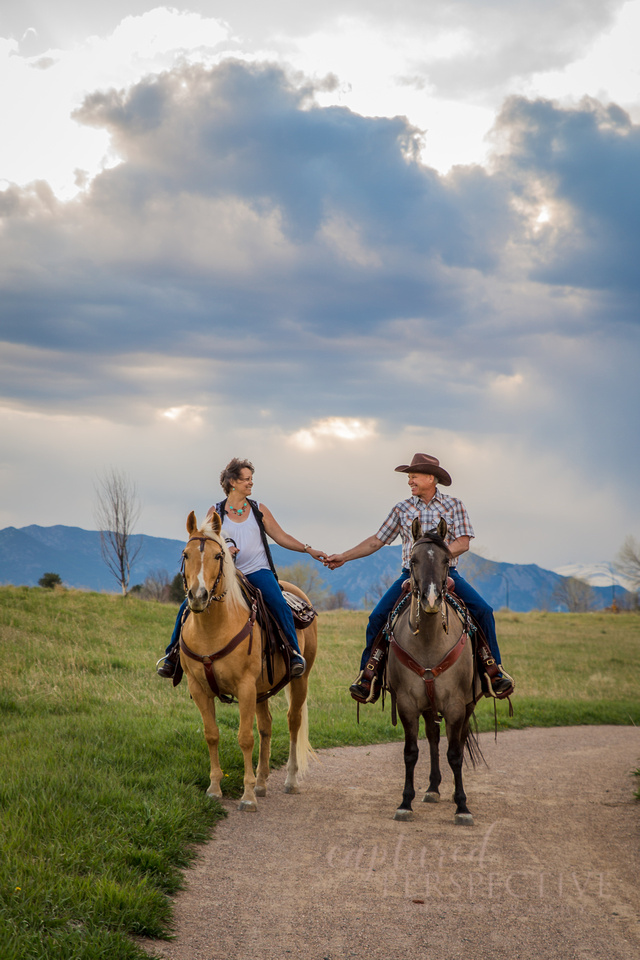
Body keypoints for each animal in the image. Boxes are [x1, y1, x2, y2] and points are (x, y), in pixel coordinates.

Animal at [178, 510, 318, 808]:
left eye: (218, 556)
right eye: (185, 554)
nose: (198, 596)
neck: (213, 629)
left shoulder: (244, 688)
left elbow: (244, 738)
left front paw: (248, 796)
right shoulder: (199, 688)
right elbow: (212, 734)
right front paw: (215, 788)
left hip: (299, 680)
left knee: (293, 721)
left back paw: (289, 780)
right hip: (261, 690)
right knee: (266, 726)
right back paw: (263, 781)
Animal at [384, 516, 480, 824]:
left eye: (446, 559)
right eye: (413, 560)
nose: (430, 600)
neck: (428, 639)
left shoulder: (456, 705)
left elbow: (455, 753)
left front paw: (462, 806)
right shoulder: (407, 704)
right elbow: (411, 752)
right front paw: (405, 802)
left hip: (467, 705)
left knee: (453, 741)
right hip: (428, 705)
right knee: (434, 739)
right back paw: (433, 788)